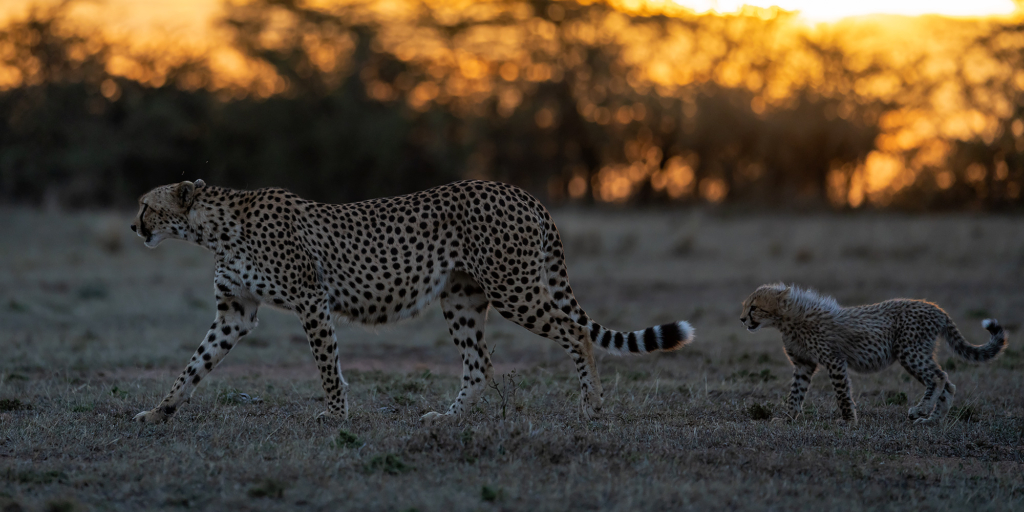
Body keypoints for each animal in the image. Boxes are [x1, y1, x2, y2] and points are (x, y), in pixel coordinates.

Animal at [125, 179, 688, 423]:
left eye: (145, 205)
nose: (133, 226)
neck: (216, 228)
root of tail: (518, 191)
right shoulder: (235, 313)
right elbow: (195, 364)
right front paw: (160, 410)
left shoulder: (311, 300)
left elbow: (326, 365)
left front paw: (336, 415)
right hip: (462, 297)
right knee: (480, 362)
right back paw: (449, 418)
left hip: (513, 288)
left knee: (573, 332)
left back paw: (593, 405)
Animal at [741, 282, 1003, 425]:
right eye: (745, 306)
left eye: (754, 307)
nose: (742, 319)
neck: (788, 319)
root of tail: (936, 308)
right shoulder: (804, 364)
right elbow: (795, 393)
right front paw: (787, 418)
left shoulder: (834, 360)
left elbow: (842, 393)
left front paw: (848, 420)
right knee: (948, 384)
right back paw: (931, 420)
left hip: (909, 351)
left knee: (939, 377)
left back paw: (920, 410)